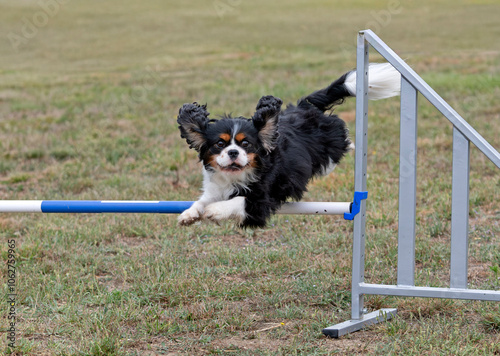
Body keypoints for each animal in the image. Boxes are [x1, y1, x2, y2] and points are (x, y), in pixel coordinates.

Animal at [178, 63, 400, 228]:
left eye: (246, 143)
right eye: (220, 144)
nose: (233, 152)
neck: (235, 177)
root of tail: (304, 105)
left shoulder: (262, 200)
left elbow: (238, 201)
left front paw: (214, 211)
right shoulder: (215, 189)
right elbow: (202, 200)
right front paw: (189, 214)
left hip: (330, 144)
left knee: (338, 146)